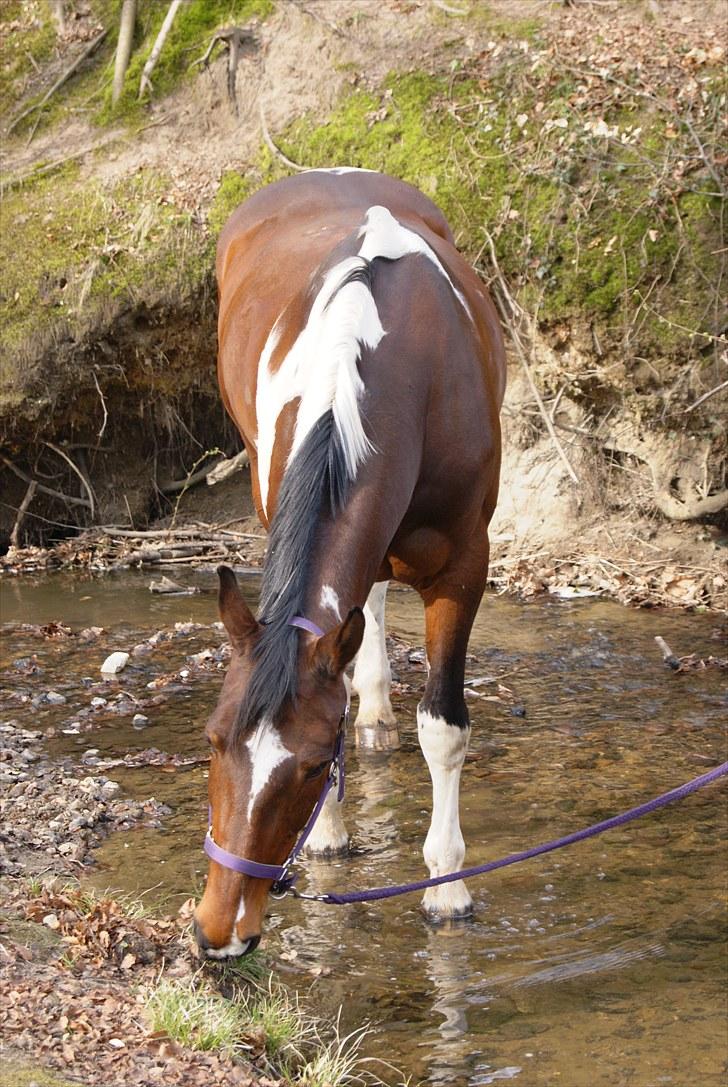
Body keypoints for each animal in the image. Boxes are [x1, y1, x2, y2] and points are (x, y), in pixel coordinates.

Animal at [193, 165, 508, 956]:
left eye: (308, 765)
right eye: (213, 741)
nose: (217, 932)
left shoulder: (464, 567)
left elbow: (444, 728)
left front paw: (448, 887)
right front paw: (327, 837)